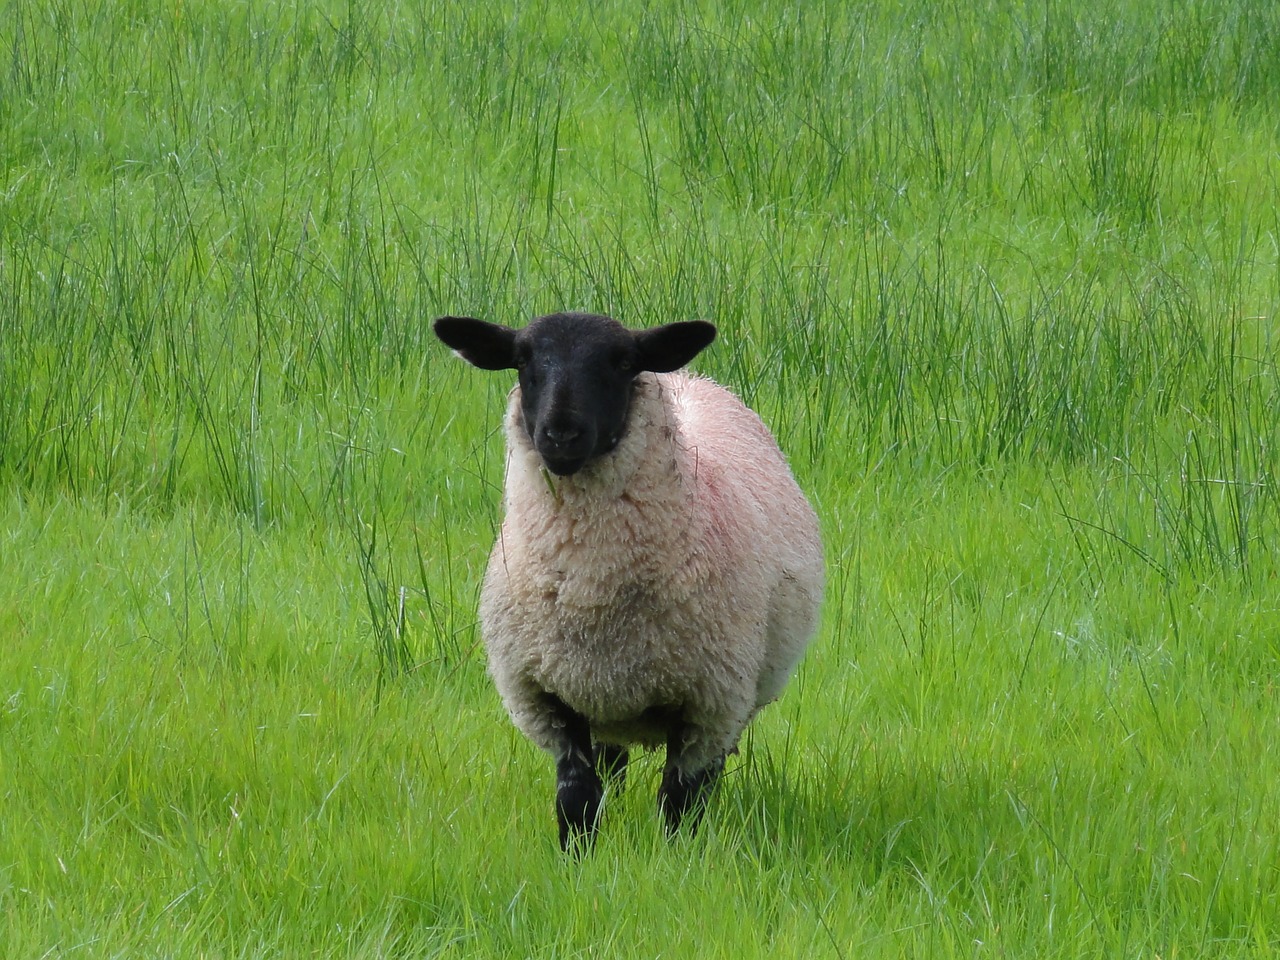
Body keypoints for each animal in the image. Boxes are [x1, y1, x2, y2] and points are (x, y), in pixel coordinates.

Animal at [435, 313, 824, 849]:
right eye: (522, 359)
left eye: (622, 362)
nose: (560, 434)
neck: (592, 591)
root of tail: (690, 378)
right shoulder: (548, 697)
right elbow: (577, 798)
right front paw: (578, 858)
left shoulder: (708, 701)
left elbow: (680, 803)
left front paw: (675, 860)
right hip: (603, 700)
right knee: (611, 762)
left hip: (735, 696)